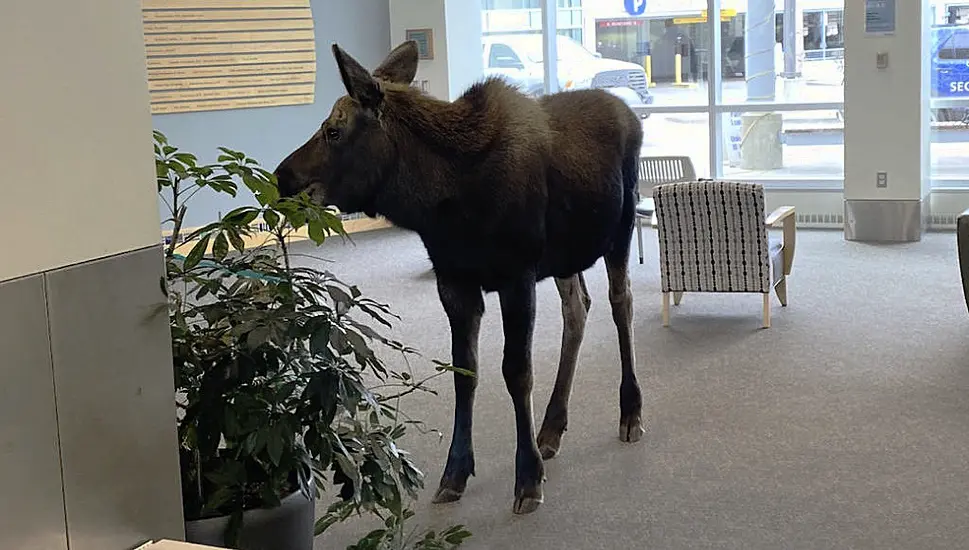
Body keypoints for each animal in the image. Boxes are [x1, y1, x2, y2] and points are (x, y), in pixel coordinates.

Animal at [272, 40, 648, 516]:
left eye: (334, 131)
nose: (282, 176)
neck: (442, 202)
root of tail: (630, 112)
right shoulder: (454, 282)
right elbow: (463, 371)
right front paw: (455, 473)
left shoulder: (516, 275)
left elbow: (516, 371)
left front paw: (527, 478)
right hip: (566, 257)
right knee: (578, 309)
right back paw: (551, 427)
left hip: (620, 228)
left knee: (622, 304)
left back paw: (630, 412)